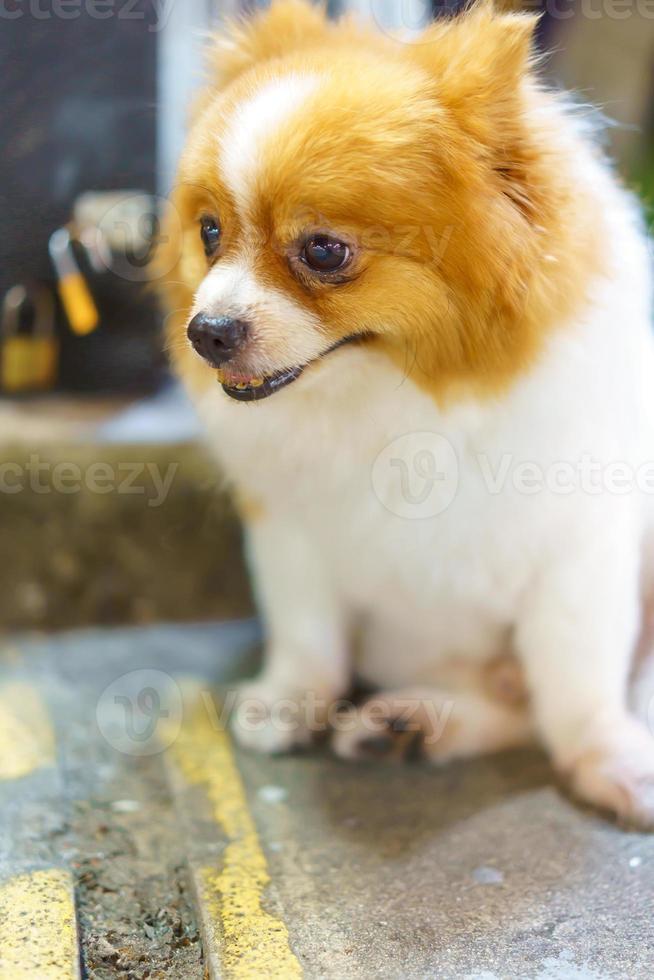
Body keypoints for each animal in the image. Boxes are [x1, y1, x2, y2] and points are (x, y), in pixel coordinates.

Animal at [156, 0, 654, 828]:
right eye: (210, 233)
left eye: (324, 251)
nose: (208, 331)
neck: (395, 400)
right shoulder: (292, 533)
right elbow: (308, 636)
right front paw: (291, 703)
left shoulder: (581, 550)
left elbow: (575, 680)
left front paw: (606, 757)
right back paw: (413, 724)